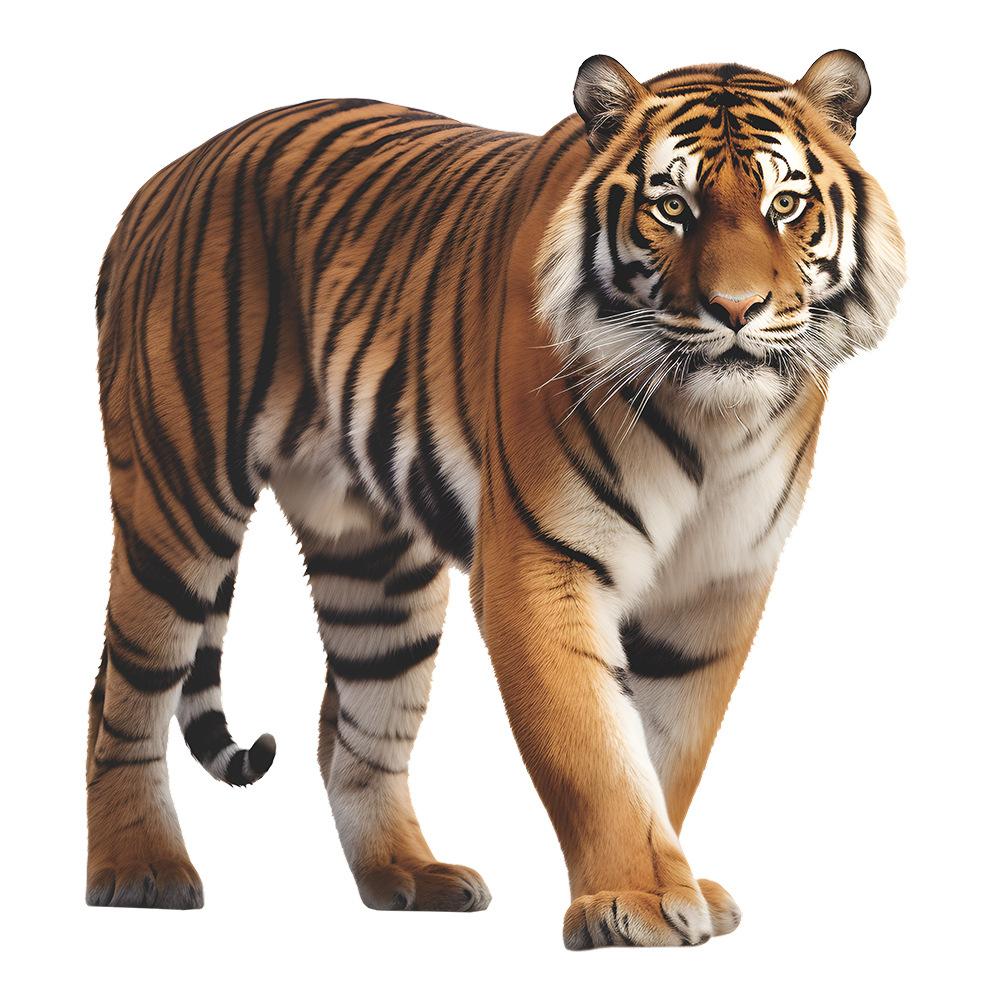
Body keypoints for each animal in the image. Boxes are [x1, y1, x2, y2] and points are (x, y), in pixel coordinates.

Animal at [87, 49, 905, 949]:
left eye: (785, 205)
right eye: (672, 208)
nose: (735, 309)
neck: (713, 424)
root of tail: (164, 177)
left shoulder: (718, 585)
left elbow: (668, 747)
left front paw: (678, 884)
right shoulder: (541, 563)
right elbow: (595, 747)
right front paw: (637, 899)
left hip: (377, 567)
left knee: (351, 727)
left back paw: (409, 875)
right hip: (177, 500)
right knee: (120, 692)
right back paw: (140, 870)